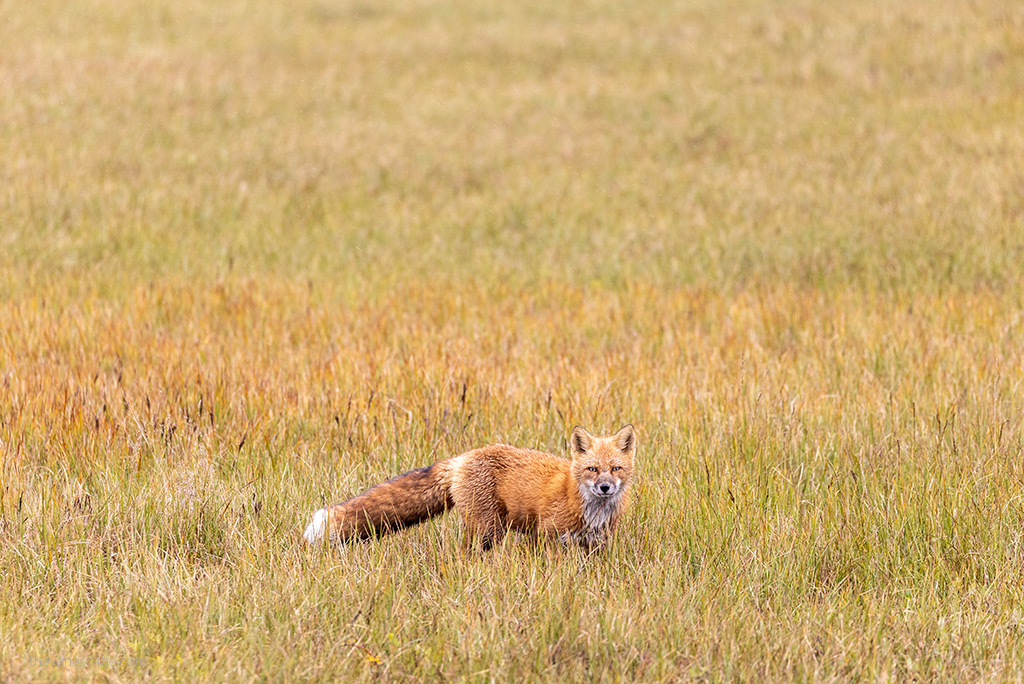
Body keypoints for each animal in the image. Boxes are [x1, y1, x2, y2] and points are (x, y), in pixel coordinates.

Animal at [303, 424, 636, 550]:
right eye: (592, 469)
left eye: (615, 469)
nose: (605, 487)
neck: (591, 509)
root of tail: (462, 458)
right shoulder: (546, 535)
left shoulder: (596, 543)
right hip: (488, 530)